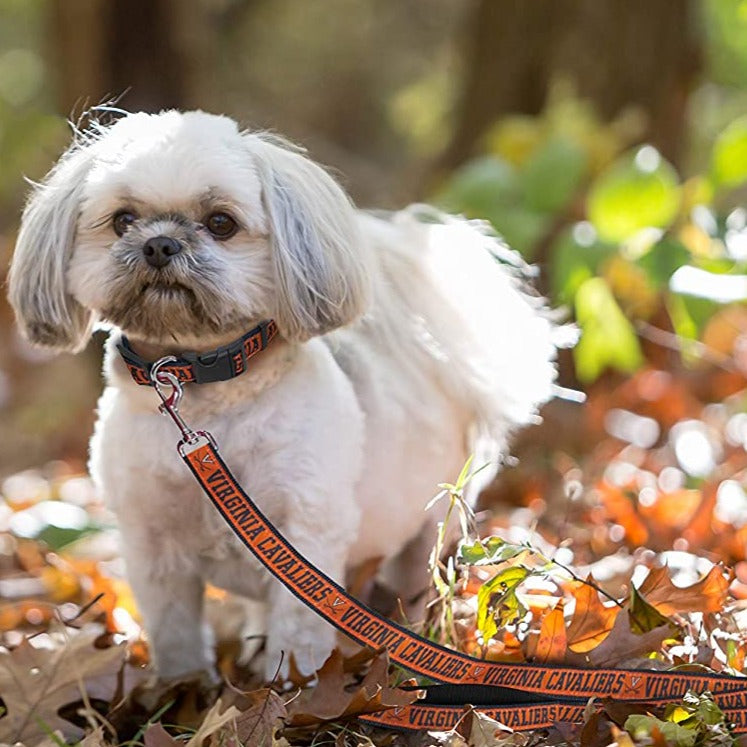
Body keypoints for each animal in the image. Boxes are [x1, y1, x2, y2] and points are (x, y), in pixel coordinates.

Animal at [8, 109, 560, 684]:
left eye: (221, 223)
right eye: (122, 219)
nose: (159, 244)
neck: (206, 389)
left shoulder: (304, 536)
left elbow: (298, 633)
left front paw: (292, 689)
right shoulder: (152, 547)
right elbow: (176, 635)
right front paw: (183, 691)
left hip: (429, 524)